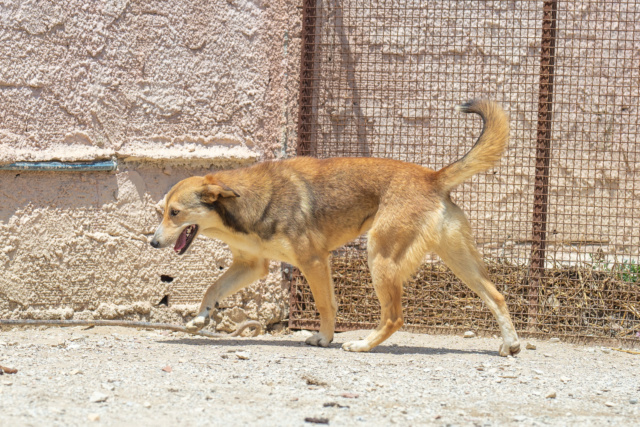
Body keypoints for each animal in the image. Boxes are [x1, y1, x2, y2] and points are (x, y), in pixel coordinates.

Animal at [150, 100, 520, 358]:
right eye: (162, 212)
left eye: (175, 213)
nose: (152, 242)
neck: (240, 206)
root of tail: (432, 177)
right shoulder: (251, 266)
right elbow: (212, 288)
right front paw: (201, 318)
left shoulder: (313, 261)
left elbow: (326, 305)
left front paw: (325, 338)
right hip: (458, 260)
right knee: (497, 295)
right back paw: (511, 344)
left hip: (380, 256)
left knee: (394, 317)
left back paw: (364, 345)